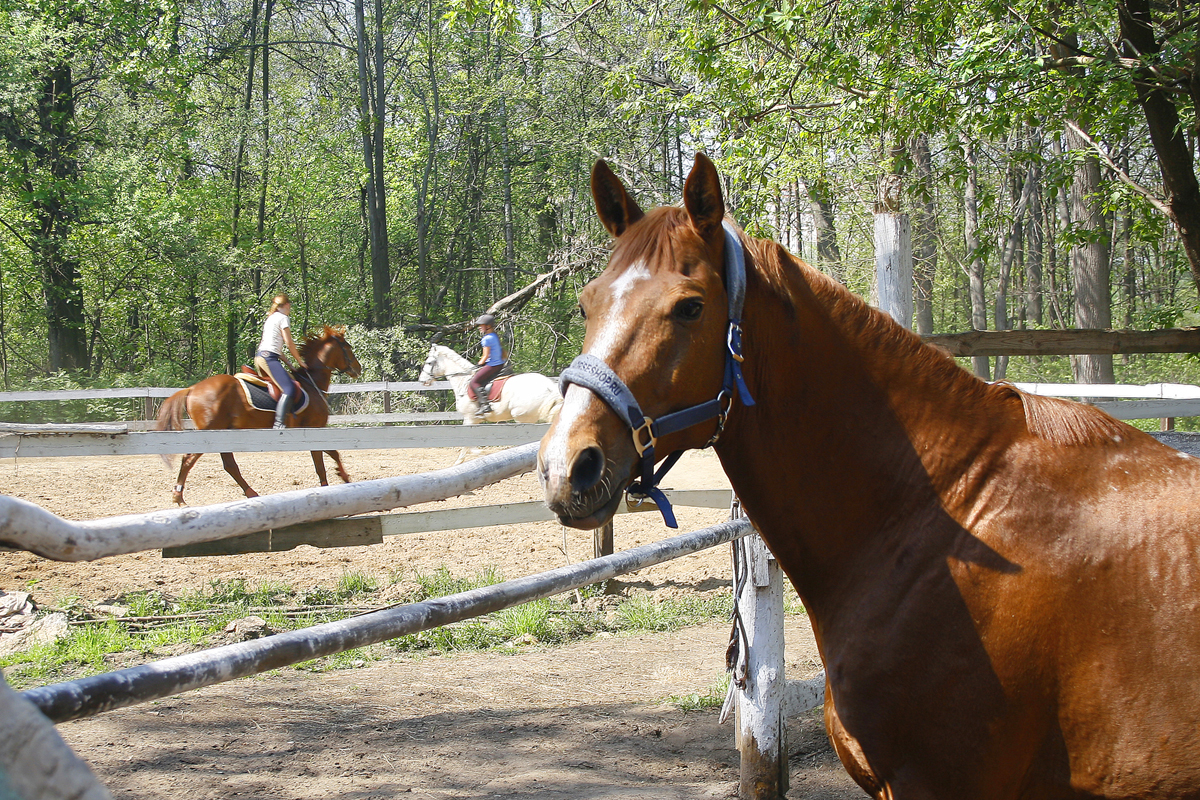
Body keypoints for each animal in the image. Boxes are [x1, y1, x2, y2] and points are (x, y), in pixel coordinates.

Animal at [154, 323, 360, 501]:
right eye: (347, 347)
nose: (358, 368)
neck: (311, 383)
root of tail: (192, 389)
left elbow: (329, 457)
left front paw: (340, 477)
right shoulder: (314, 429)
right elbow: (326, 460)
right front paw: (340, 479)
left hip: (223, 433)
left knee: (229, 465)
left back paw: (251, 493)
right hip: (209, 432)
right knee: (189, 460)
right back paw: (178, 497)